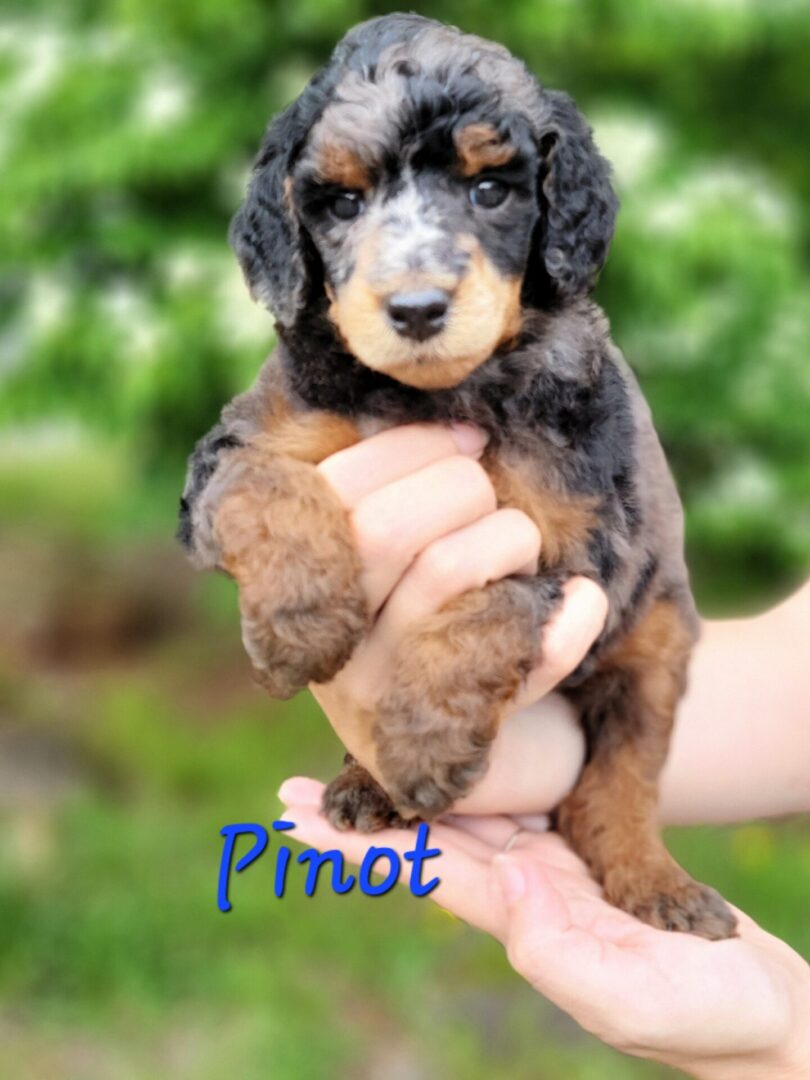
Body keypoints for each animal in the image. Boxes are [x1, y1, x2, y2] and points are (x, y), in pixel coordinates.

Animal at [180, 10, 738, 937]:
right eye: (344, 202)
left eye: (489, 191)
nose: (415, 310)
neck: (435, 395)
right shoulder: (237, 444)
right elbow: (267, 489)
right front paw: (301, 626)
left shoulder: (578, 544)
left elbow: (489, 608)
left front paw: (424, 746)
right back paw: (365, 785)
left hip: (656, 644)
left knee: (616, 788)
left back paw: (658, 884)